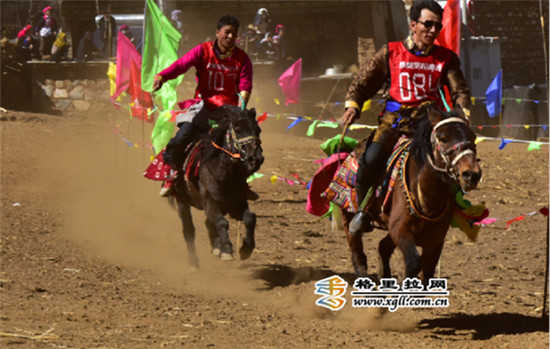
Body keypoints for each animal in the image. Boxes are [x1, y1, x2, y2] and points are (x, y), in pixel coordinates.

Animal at [170, 104, 266, 268]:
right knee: (189, 230)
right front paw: (227, 250)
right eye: (237, 129)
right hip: (182, 201)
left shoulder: (237, 204)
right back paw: (193, 263)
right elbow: (222, 222)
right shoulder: (210, 202)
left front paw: (246, 249)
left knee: (209, 223)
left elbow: (250, 218)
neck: (223, 174)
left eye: (258, 130)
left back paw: (216, 247)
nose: (256, 158)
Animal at [342, 104, 480, 284]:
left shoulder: (435, 241)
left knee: (383, 247)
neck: (427, 197)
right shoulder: (400, 229)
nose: (471, 174)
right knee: (356, 248)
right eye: (443, 138)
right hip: (349, 216)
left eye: (473, 137)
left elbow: (427, 273)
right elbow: (414, 263)